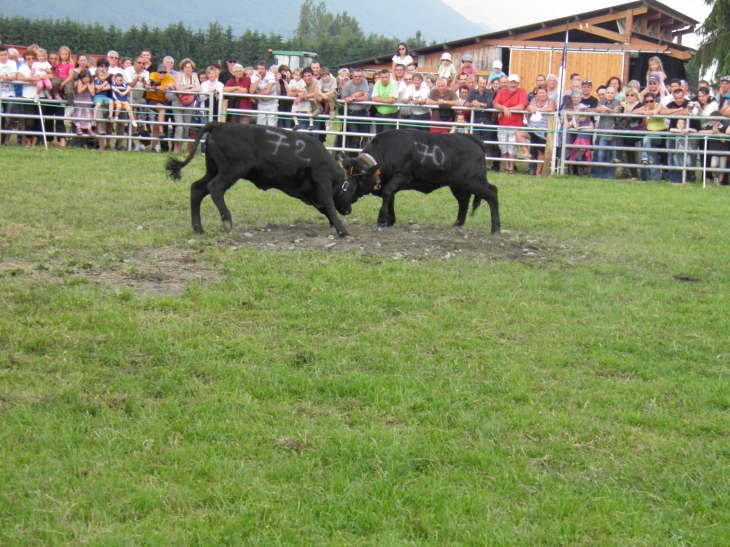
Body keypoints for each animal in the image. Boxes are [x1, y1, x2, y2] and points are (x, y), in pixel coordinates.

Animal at [165, 121, 352, 235]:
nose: (349, 210)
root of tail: (219, 124)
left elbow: (324, 207)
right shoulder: (322, 180)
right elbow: (329, 204)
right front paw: (342, 230)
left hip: (213, 169)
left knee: (197, 189)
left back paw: (198, 229)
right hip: (232, 170)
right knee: (215, 187)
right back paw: (227, 221)